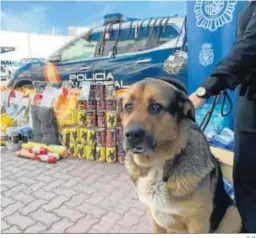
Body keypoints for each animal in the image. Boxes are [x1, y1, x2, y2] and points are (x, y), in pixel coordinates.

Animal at [120, 77, 242, 233]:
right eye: (128, 107)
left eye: (155, 107)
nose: (131, 135)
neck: (158, 164)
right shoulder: (155, 219)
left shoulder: (198, 224)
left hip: (233, 214)